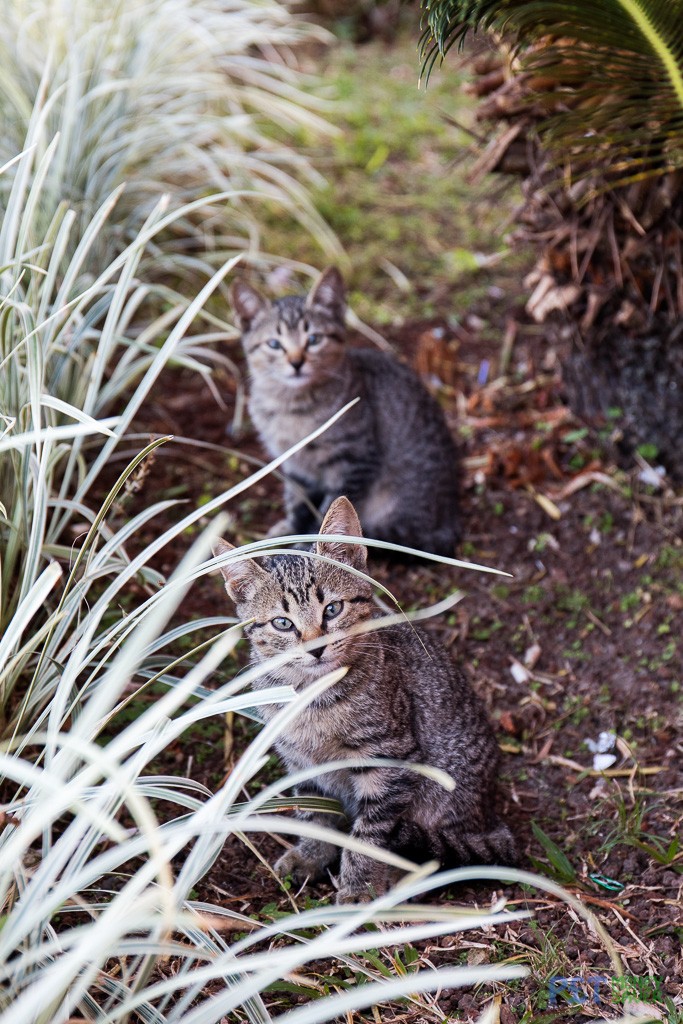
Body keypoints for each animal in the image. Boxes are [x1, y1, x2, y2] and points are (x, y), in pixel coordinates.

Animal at [211, 495, 511, 905]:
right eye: (283, 624)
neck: (313, 697)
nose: (317, 648)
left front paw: (357, 889)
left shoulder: (390, 758)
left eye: (332, 609)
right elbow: (314, 812)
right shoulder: (300, 760)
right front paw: (312, 854)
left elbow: (368, 835)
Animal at [232, 264, 462, 552]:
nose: (296, 362)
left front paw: (306, 545)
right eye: (274, 344)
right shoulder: (294, 465)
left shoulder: (354, 460)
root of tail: (450, 519)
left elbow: (326, 514)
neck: (291, 407)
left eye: (314, 339)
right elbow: (297, 501)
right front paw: (290, 529)